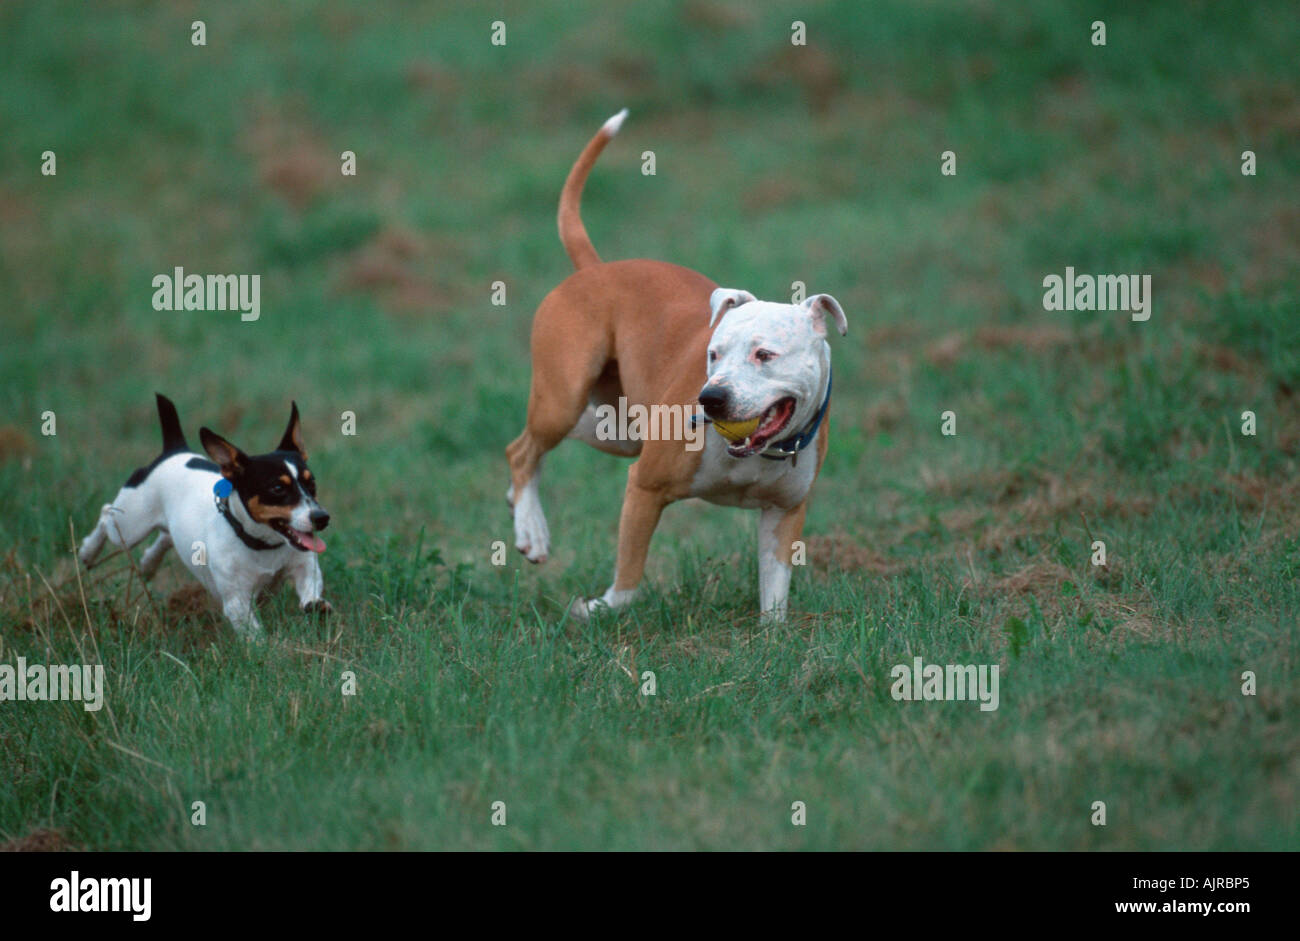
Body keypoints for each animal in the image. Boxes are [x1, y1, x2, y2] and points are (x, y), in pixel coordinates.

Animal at [78, 392, 330, 642]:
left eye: (312, 483)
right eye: (277, 488)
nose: (322, 517)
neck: (261, 545)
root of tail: (174, 451)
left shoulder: (306, 568)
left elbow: (310, 589)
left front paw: (315, 605)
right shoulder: (237, 602)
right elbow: (254, 634)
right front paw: (264, 648)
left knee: (165, 536)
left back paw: (149, 563)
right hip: (129, 526)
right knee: (106, 514)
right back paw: (88, 552)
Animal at [501, 110, 847, 621]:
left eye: (764, 355)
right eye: (713, 353)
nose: (711, 397)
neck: (757, 454)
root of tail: (596, 269)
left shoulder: (784, 515)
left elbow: (775, 589)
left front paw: (773, 630)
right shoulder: (644, 487)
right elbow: (629, 572)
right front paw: (600, 608)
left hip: (615, 428)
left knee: (531, 443)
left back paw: (518, 507)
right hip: (564, 398)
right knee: (524, 448)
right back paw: (532, 531)